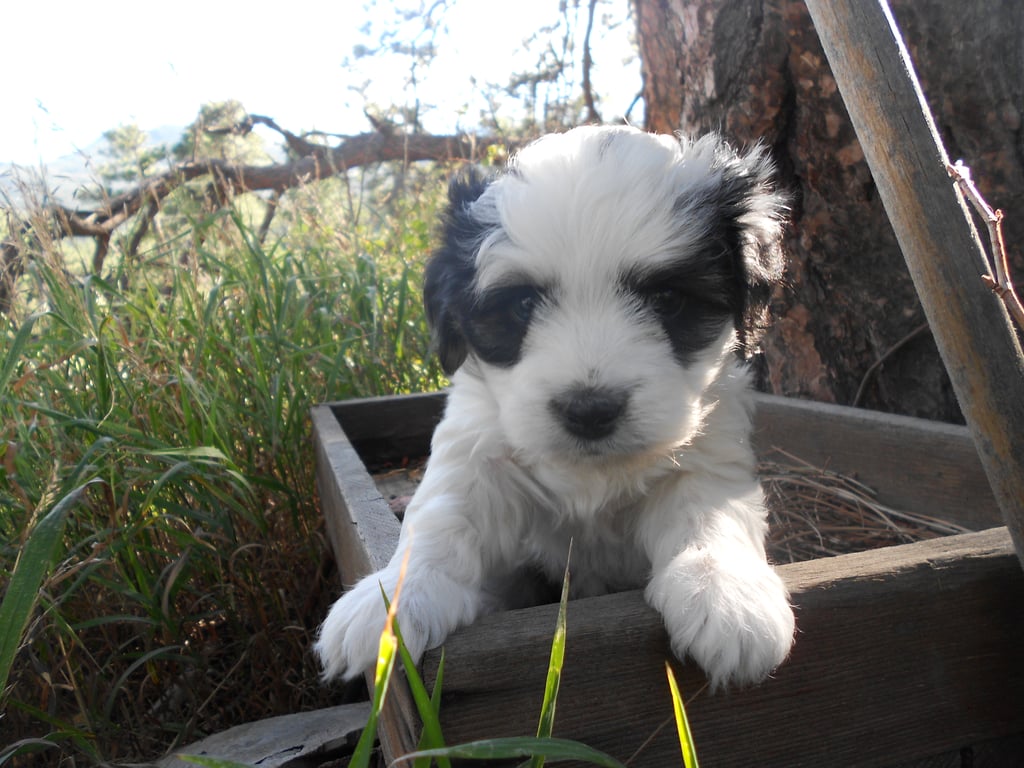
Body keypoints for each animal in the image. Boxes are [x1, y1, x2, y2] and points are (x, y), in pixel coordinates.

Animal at [315, 126, 794, 692]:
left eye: (669, 300)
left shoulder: (710, 455)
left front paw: (725, 593)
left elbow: (709, 513)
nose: (590, 410)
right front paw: (393, 600)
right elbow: (442, 515)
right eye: (523, 305)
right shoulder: (477, 450)